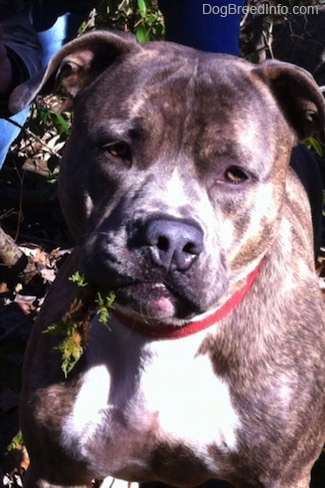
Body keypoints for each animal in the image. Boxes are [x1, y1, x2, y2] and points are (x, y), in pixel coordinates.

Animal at [8, 30, 324, 488]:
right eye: (116, 150)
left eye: (235, 174)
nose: (170, 239)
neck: (161, 339)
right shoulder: (55, 470)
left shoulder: (283, 475)